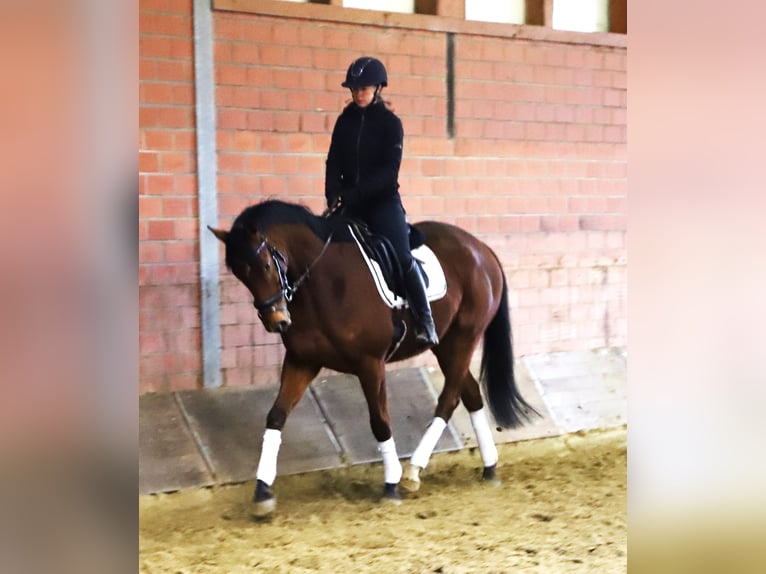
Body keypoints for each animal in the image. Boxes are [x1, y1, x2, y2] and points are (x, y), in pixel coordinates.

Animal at [209, 199, 536, 516]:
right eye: (239, 273)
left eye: (265, 265)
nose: (276, 321)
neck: (325, 282)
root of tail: (481, 248)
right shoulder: (302, 361)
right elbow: (276, 416)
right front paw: (262, 491)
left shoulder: (370, 363)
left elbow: (379, 422)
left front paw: (390, 485)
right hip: (445, 344)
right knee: (470, 394)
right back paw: (489, 467)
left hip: (465, 337)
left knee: (449, 399)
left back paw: (413, 471)